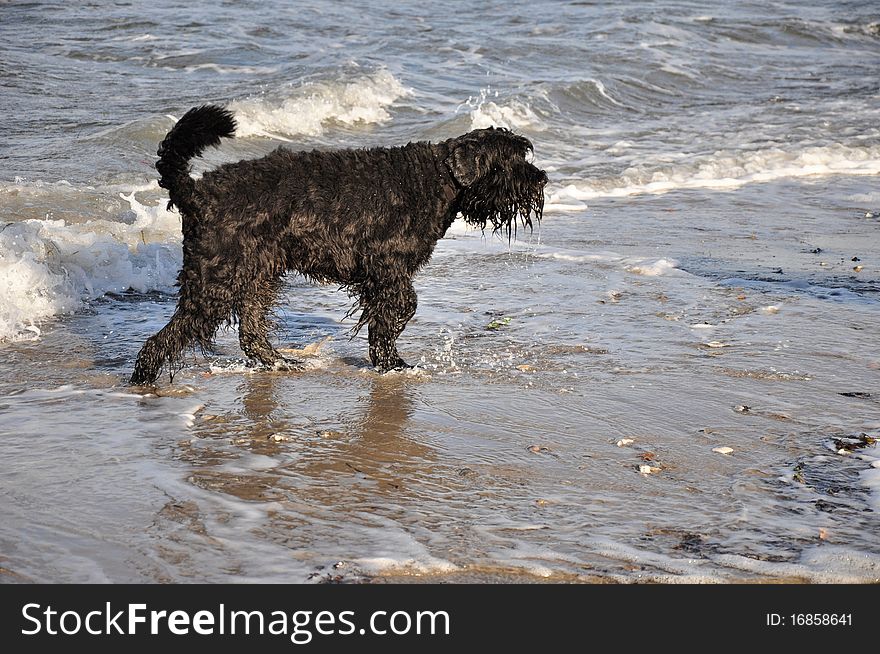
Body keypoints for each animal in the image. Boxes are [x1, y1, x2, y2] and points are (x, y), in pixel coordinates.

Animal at [131, 105, 548, 384]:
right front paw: (390, 362)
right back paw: (143, 376)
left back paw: (277, 362)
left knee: (251, 330)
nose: (541, 178)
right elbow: (401, 308)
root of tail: (198, 192)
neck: (436, 180)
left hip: (256, 277)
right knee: (168, 336)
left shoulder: (382, 275)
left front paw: (386, 359)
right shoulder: (387, 268)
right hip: (216, 280)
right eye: (507, 160)